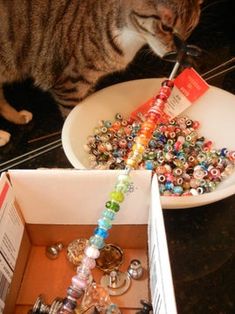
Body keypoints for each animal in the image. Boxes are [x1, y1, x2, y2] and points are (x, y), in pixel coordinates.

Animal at [0, 0, 202, 146]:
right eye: (165, 27)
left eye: (190, 27)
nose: (181, 55)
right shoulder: (70, 85)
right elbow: (72, 114)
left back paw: (19, 118)